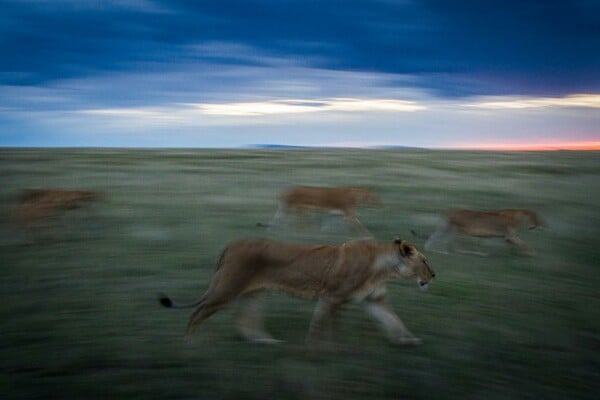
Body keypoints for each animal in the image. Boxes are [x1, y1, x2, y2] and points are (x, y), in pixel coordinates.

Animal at [157, 238, 434, 346]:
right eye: (424, 260)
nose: (433, 276)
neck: (383, 267)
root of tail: (230, 245)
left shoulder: (374, 300)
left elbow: (393, 321)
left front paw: (408, 341)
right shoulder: (332, 297)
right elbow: (321, 326)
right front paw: (319, 352)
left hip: (253, 293)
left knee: (245, 321)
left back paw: (265, 342)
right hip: (226, 289)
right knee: (197, 314)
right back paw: (189, 346)